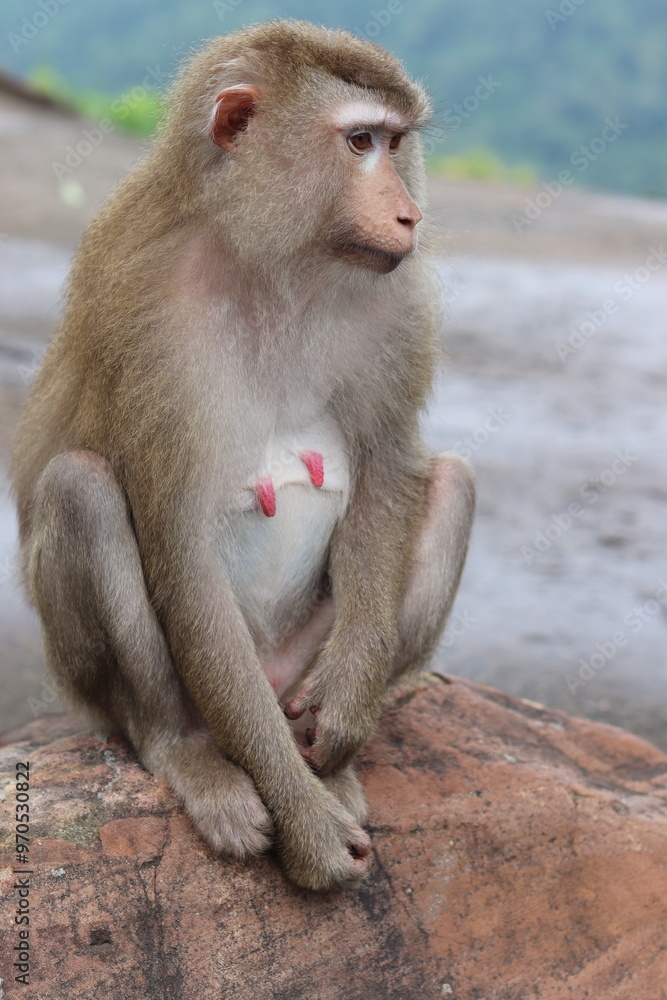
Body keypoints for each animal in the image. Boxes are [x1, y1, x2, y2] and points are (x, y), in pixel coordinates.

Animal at [10, 20, 475, 891]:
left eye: (395, 143)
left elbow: (387, 472)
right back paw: (192, 755)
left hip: (293, 668)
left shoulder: (393, 305)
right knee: (80, 489)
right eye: (358, 141)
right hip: (133, 688)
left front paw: (347, 709)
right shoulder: (148, 319)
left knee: (453, 485)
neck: (276, 264)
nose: (409, 216)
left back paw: (336, 764)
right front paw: (307, 828)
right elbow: (180, 547)